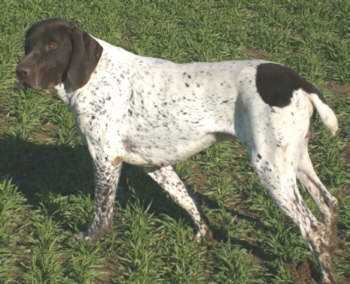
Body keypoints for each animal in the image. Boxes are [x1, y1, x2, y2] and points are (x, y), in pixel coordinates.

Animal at [15, 18, 340, 282]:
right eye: (29, 45)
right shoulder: (154, 165)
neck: (94, 77)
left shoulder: (106, 158)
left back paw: (324, 274)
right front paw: (203, 234)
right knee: (329, 205)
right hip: (295, 162)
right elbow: (188, 202)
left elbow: (102, 211)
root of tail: (299, 82)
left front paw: (89, 239)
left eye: (53, 45)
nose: (20, 72)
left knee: (312, 228)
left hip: (270, 168)